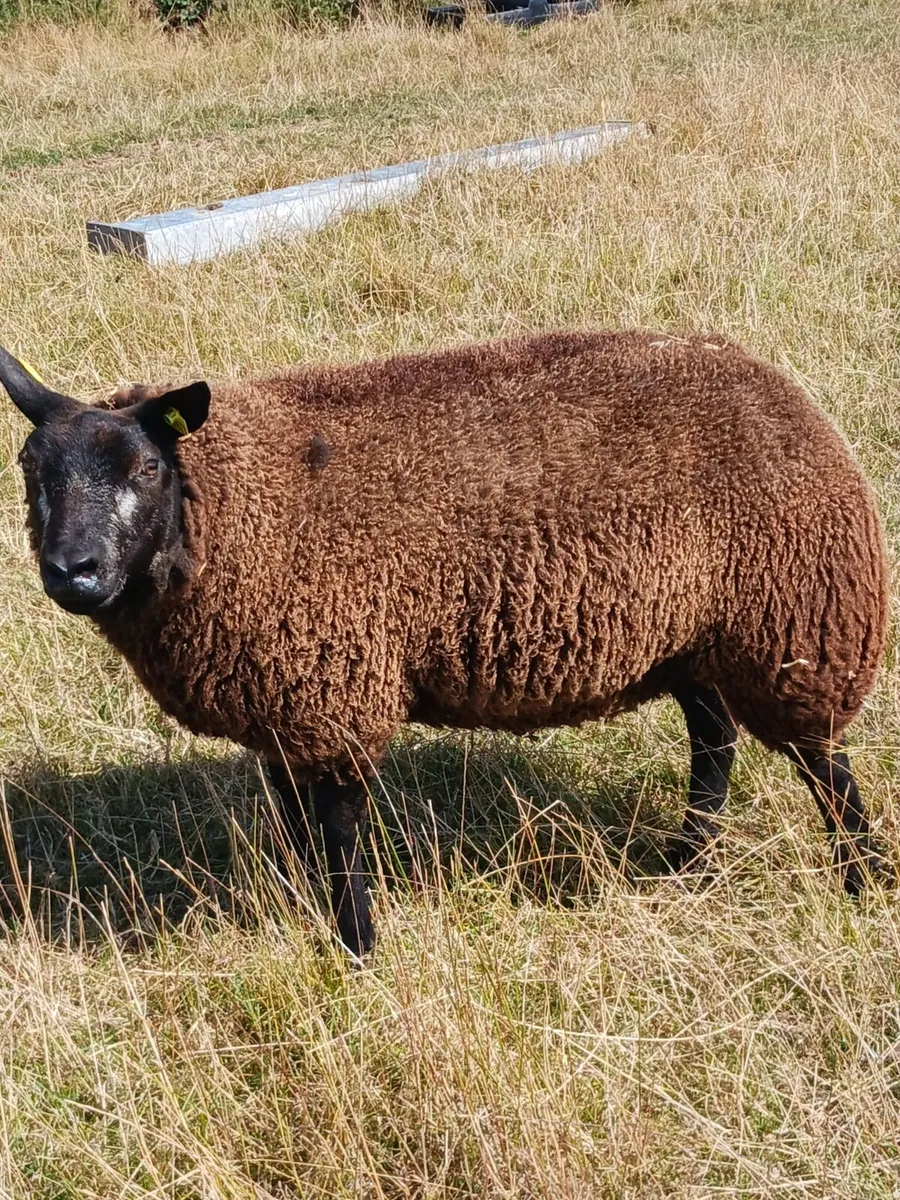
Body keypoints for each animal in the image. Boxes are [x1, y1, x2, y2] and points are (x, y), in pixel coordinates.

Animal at [0, 330, 893, 954]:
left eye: (147, 468)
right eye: (28, 467)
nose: (72, 572)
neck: (240, 506)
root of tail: (788, 394)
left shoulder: (334, 693)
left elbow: (340, 832)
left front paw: (356, 949)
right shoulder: (286, 707)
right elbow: (297, 829)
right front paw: (307, 915)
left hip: (791, 629)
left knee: (823, 762)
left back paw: (862, 877)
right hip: (692, 638)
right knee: (714, 740)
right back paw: (685, 860)